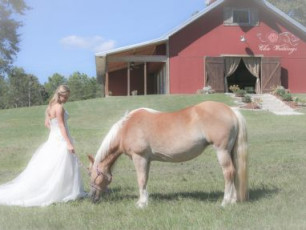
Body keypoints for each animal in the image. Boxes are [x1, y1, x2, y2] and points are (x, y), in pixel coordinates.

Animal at [88, 101, 249, 208]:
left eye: (91, 174)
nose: (92, 198)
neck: (126, 127)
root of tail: (231, 110)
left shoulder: (139, 157)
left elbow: (141, 179)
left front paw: (141, 203)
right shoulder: (147, 159)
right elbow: (145, 179)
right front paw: (145, 200)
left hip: (222, 151)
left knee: (228, 173)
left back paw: (225, 201)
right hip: (230, 151)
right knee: (234, 172)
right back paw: (233, 200)